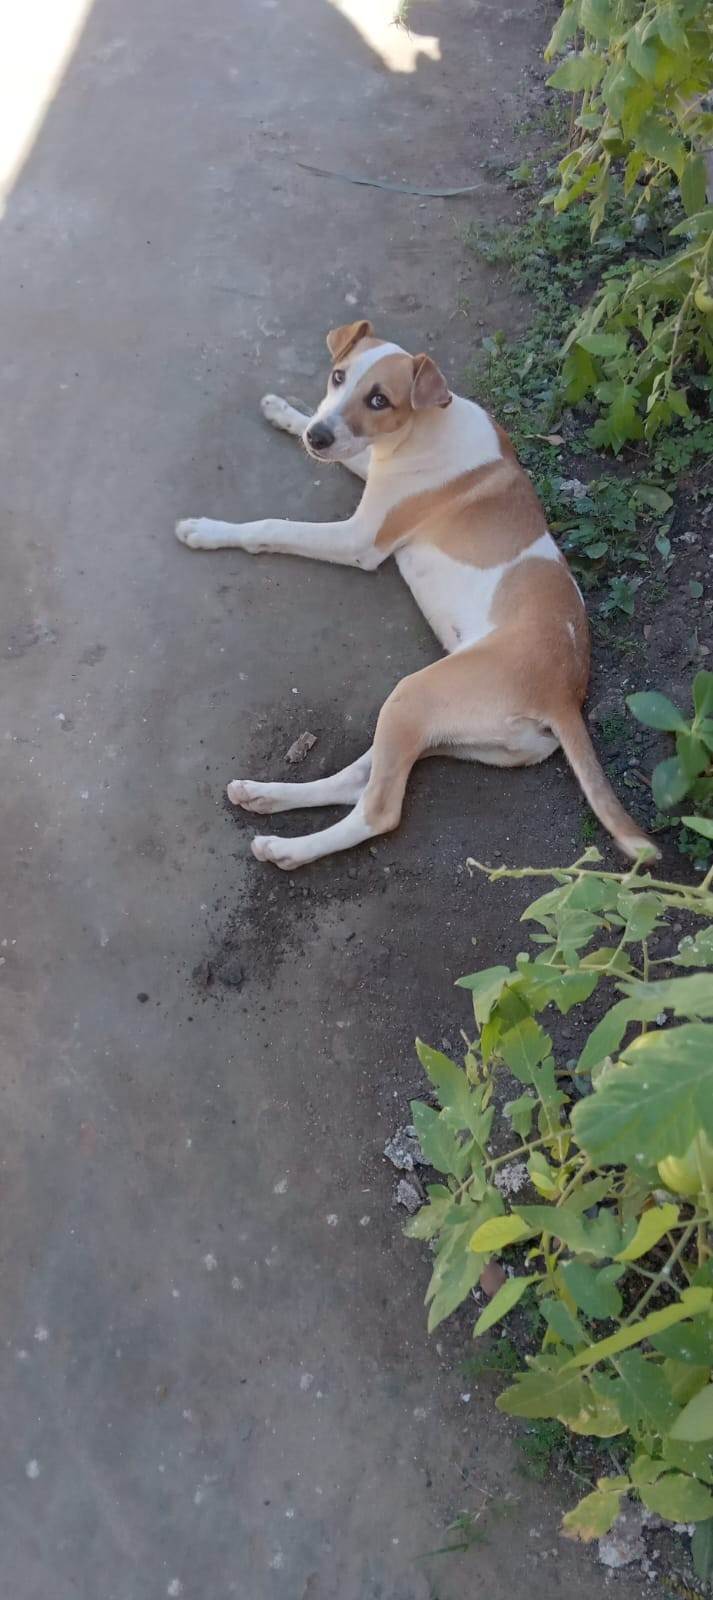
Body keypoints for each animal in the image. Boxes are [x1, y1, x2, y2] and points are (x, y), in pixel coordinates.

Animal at [176, 319, 655, 871]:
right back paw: (264, 796)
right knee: (357, 781)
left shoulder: (360, 540)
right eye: (338, 376)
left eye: (379, 399)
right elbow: (351, 451)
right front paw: (285, 412)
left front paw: (207, 530)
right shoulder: (371, 466)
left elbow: (273, 526)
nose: (318, 436)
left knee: (378, 811)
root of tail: (566, 696)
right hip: (432, 722)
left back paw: (286, 849)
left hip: (414, 695)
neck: (422, 428)